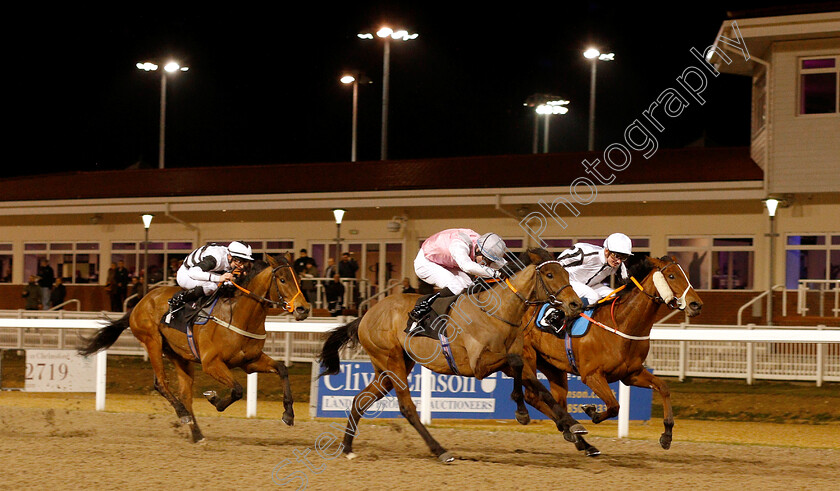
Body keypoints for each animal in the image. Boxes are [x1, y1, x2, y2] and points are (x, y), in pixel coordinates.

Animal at [77, 256, 308, 444]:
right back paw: (183, 414)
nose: (303, 309)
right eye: (283, 280)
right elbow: (237, 389)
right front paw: (214, 399)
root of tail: (139, 304)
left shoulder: (250, 361)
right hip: (152, 342)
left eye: (298, 278)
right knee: (161, 383)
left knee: (185, 395)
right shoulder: (211, 363)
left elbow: (282, 369)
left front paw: (288, 414)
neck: (238, 314)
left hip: (180, 356)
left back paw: (197, 434)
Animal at [318, 248, 588, 464]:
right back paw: (440, 451)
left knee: (359, 400)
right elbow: (518, 365)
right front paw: (522, 412)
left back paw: (348, 448)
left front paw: (573, 425)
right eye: (550, 275)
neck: (498, 311)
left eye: (567, 274)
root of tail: (365, 315)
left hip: (388, 369)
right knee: (407, 407)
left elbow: (539, 388)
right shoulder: (479, 366)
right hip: (391, 361)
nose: (576, 304)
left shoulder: (508, 361)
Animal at [520, 256, 700, 456]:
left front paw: (667, 435)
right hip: (528, 358)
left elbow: (663, 387)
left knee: (556, 400)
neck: (621, 325)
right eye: (671, 275)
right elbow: (614, 406)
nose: (696, 304)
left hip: (553, 367)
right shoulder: (592, 375)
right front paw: (592, 411)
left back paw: (580, 439)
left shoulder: (631, 374)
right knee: (533, 397)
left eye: (686, 274)